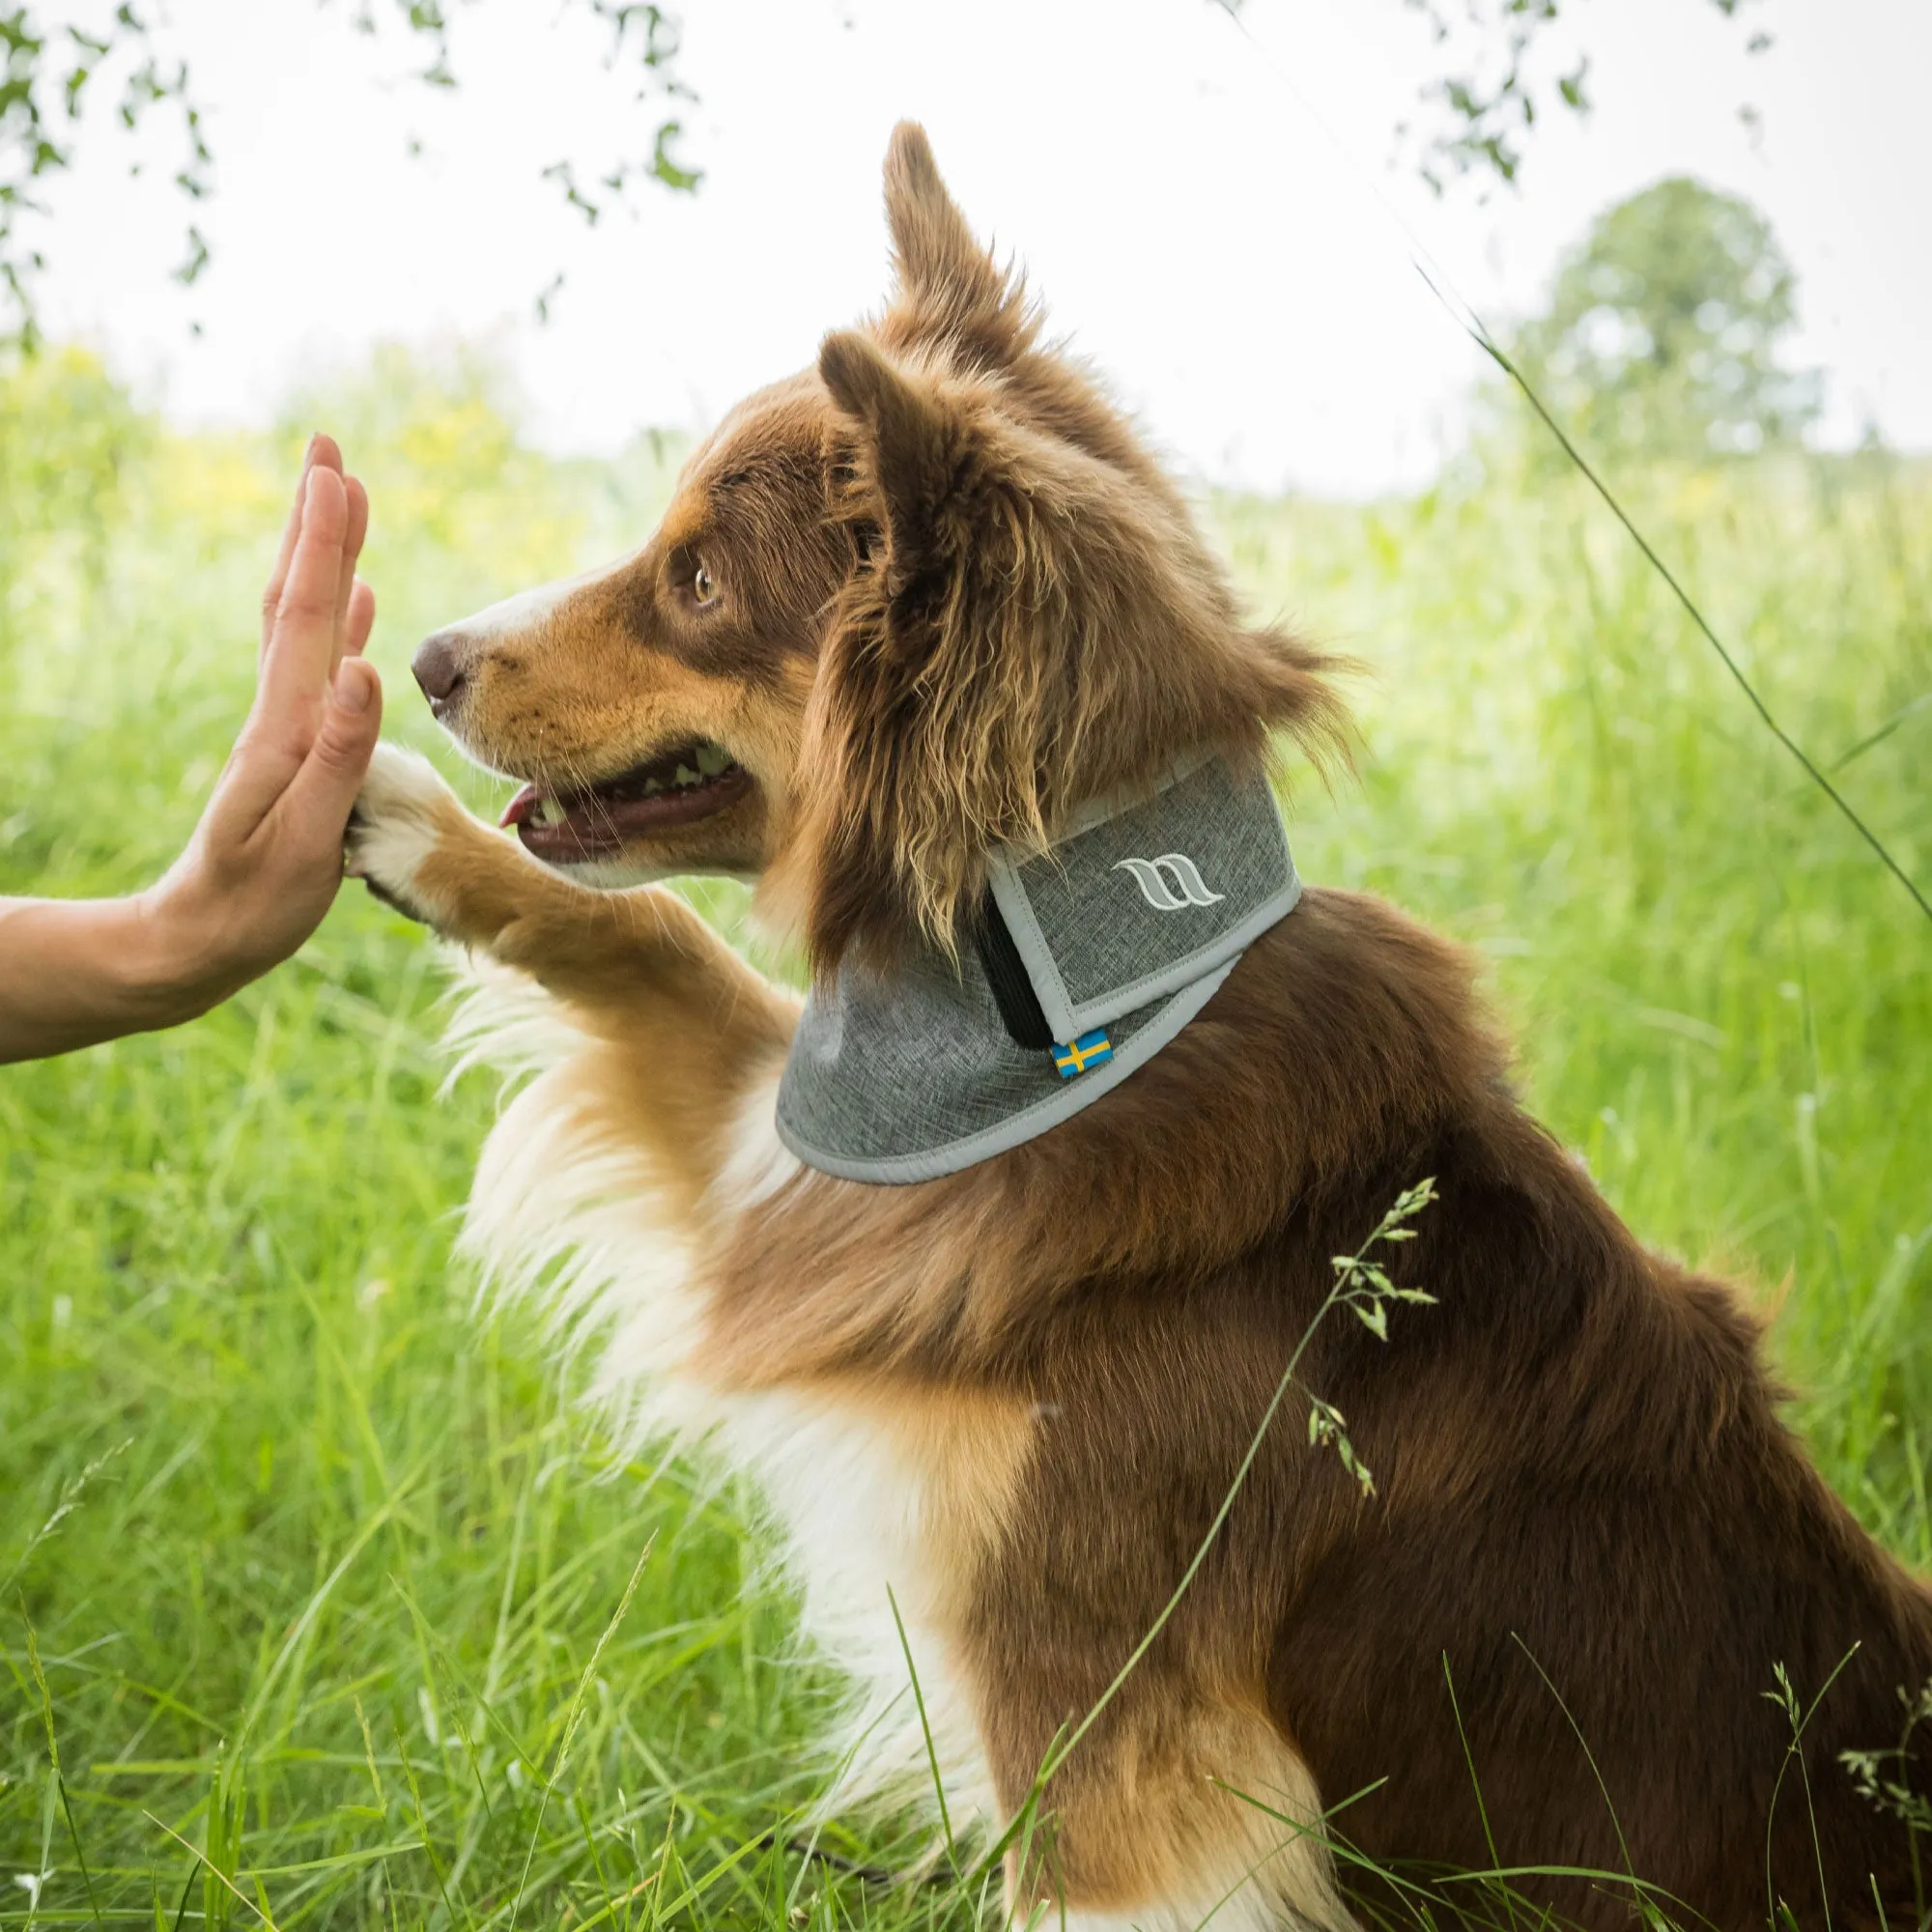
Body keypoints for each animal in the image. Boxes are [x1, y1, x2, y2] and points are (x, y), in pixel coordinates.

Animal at [348, 125, 1932, 1932]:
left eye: (695, 580)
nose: (429, 658)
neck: (1056, 1032)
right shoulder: (814, 1163)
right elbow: (661, 940)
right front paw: (407, 831)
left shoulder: (1113, 1735)